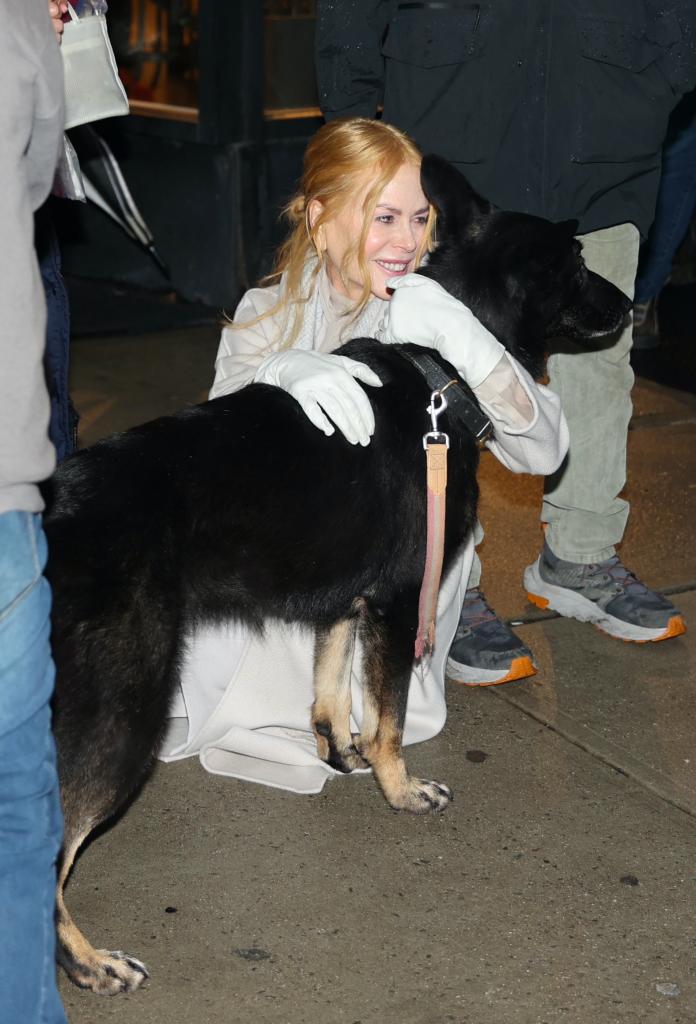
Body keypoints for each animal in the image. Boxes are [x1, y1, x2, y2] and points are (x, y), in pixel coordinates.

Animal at [43, 153, 630, 991]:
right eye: (578, 262)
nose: (632, 303)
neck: (440, 370)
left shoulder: (346, 606)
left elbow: (332, 694)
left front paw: (341, 755)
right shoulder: (397, 602)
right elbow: (389, 717)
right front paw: (400, 788)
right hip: (122, 711)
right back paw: (87, 962)